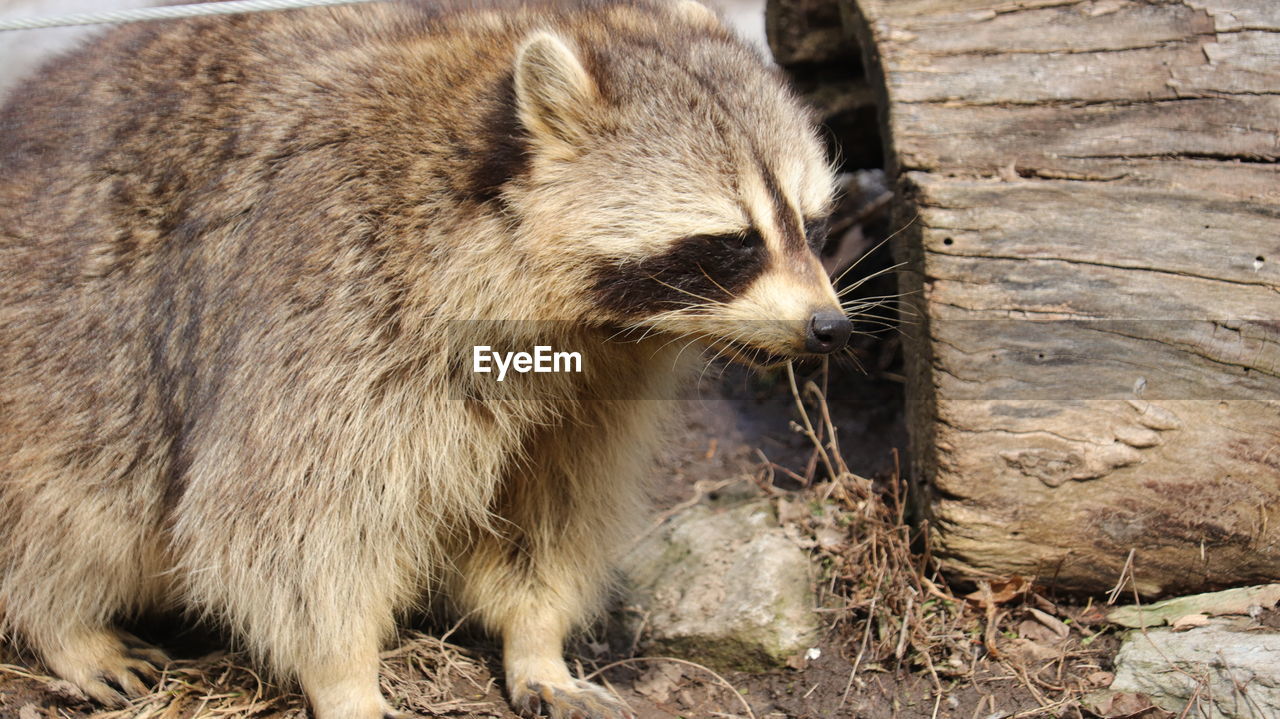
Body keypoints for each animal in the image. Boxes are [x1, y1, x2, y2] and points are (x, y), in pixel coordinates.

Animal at [0, 1, 855, 716]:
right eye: (734, 243)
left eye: (813, 225)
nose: (828, 327)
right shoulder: (341, 304)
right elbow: (286, 522)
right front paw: (344, 675)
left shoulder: (593, 389)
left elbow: (548, 510)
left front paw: (537, 638)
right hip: (63, 352)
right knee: (78, 489)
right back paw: (62, 621)